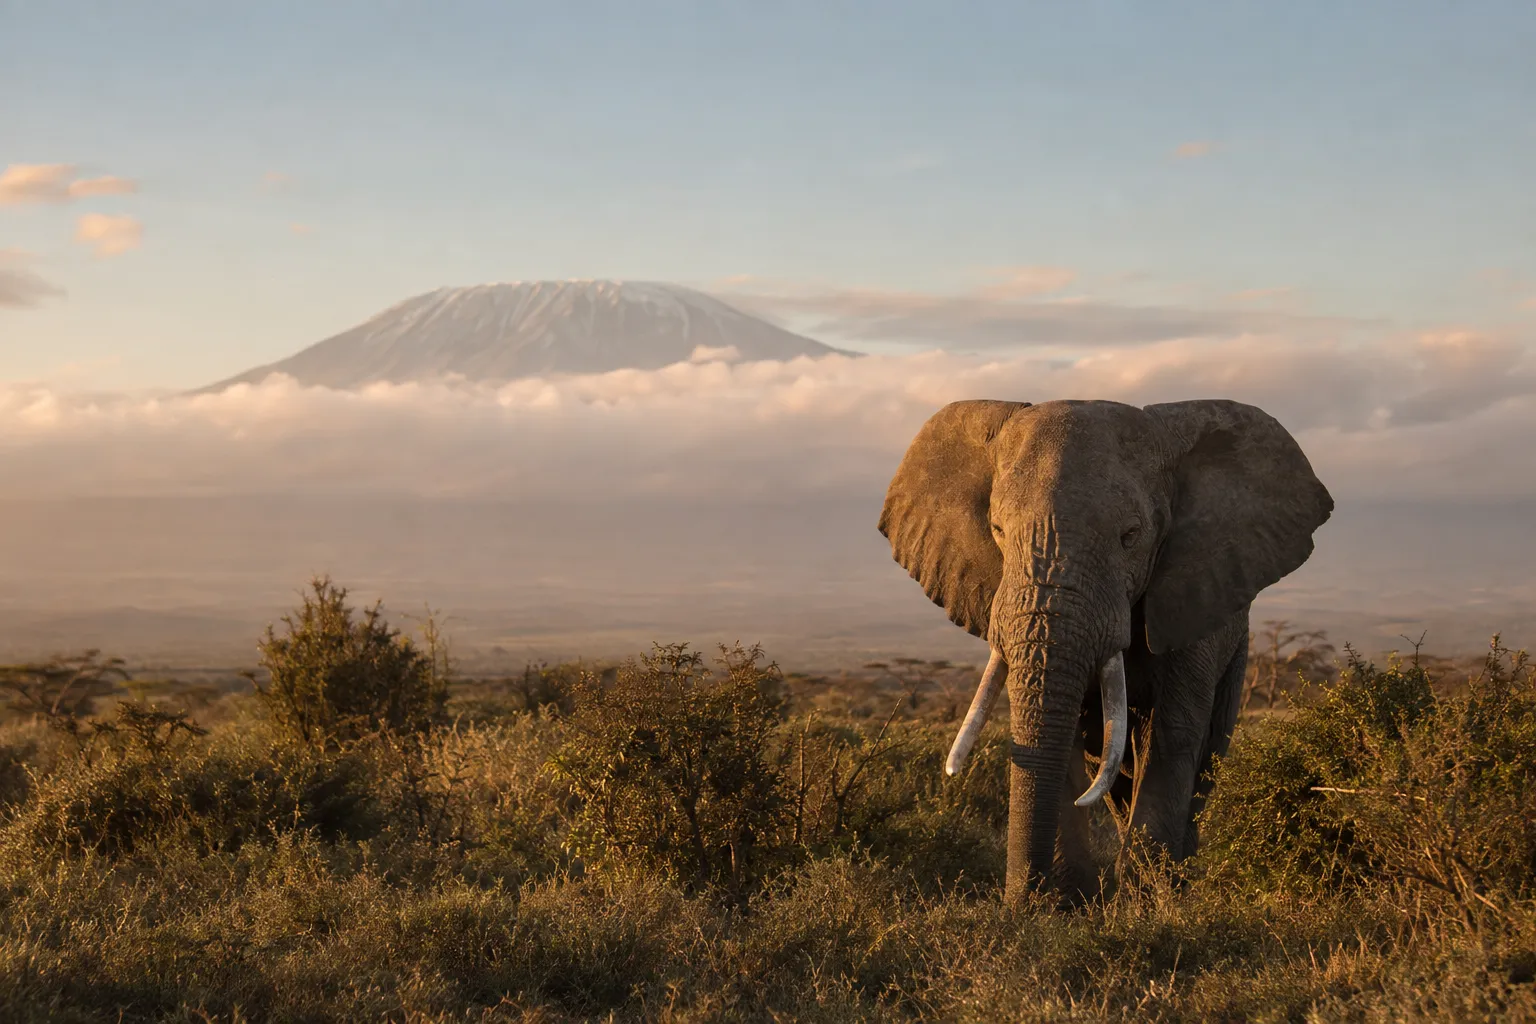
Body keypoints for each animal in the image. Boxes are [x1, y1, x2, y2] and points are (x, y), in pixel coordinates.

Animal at [878, 398, 1332, 900]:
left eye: (1130, 536)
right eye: (997, 529)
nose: (1016, 903)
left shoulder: (1194, 597)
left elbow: (1172, 732)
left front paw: (1146, 902)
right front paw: (1064, 902)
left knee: (1201, 759)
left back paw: (1177, 882)